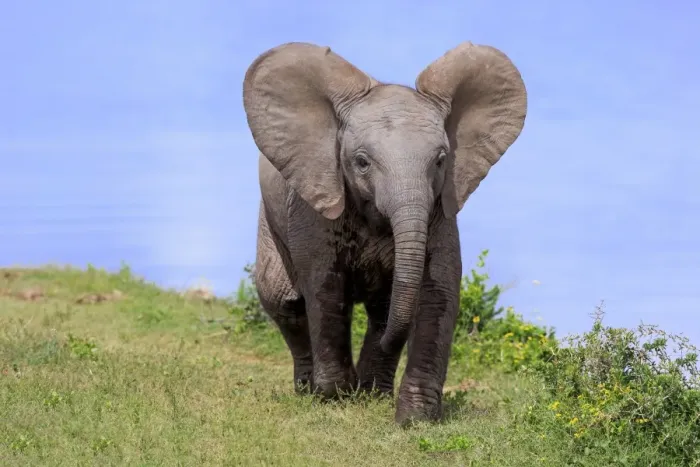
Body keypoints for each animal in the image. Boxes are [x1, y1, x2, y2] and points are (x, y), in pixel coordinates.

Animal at [242, 41, 527, 425]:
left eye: (441, 161)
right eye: (361, 162)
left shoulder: (439, 207)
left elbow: (438, 291)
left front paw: (415, 420)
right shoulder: (314, 200)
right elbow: (325, 285)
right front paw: (334, 397)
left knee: (381, 310)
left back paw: (372, 392)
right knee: (284, 300)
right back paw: (311, 390)